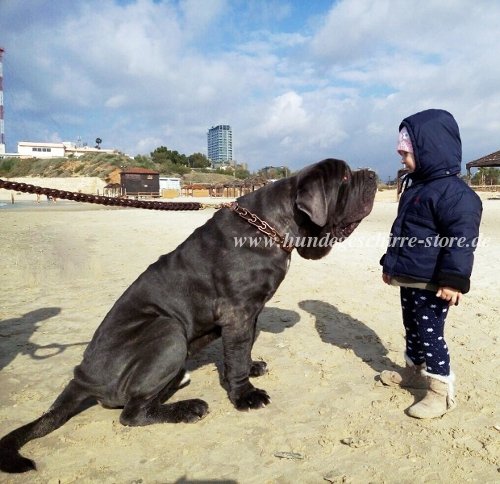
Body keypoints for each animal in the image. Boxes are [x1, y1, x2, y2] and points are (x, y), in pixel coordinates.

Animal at [0, 159, 376, 472]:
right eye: (344, 177)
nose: (372, 174)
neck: (271, 225)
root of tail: (82, 377)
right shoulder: (238, 311)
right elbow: (236, 356)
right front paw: (245, 395)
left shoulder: (250, 312)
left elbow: (243, 348)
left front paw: (251, 366)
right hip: (168, 330)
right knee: (131, 413)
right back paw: (188, 408)